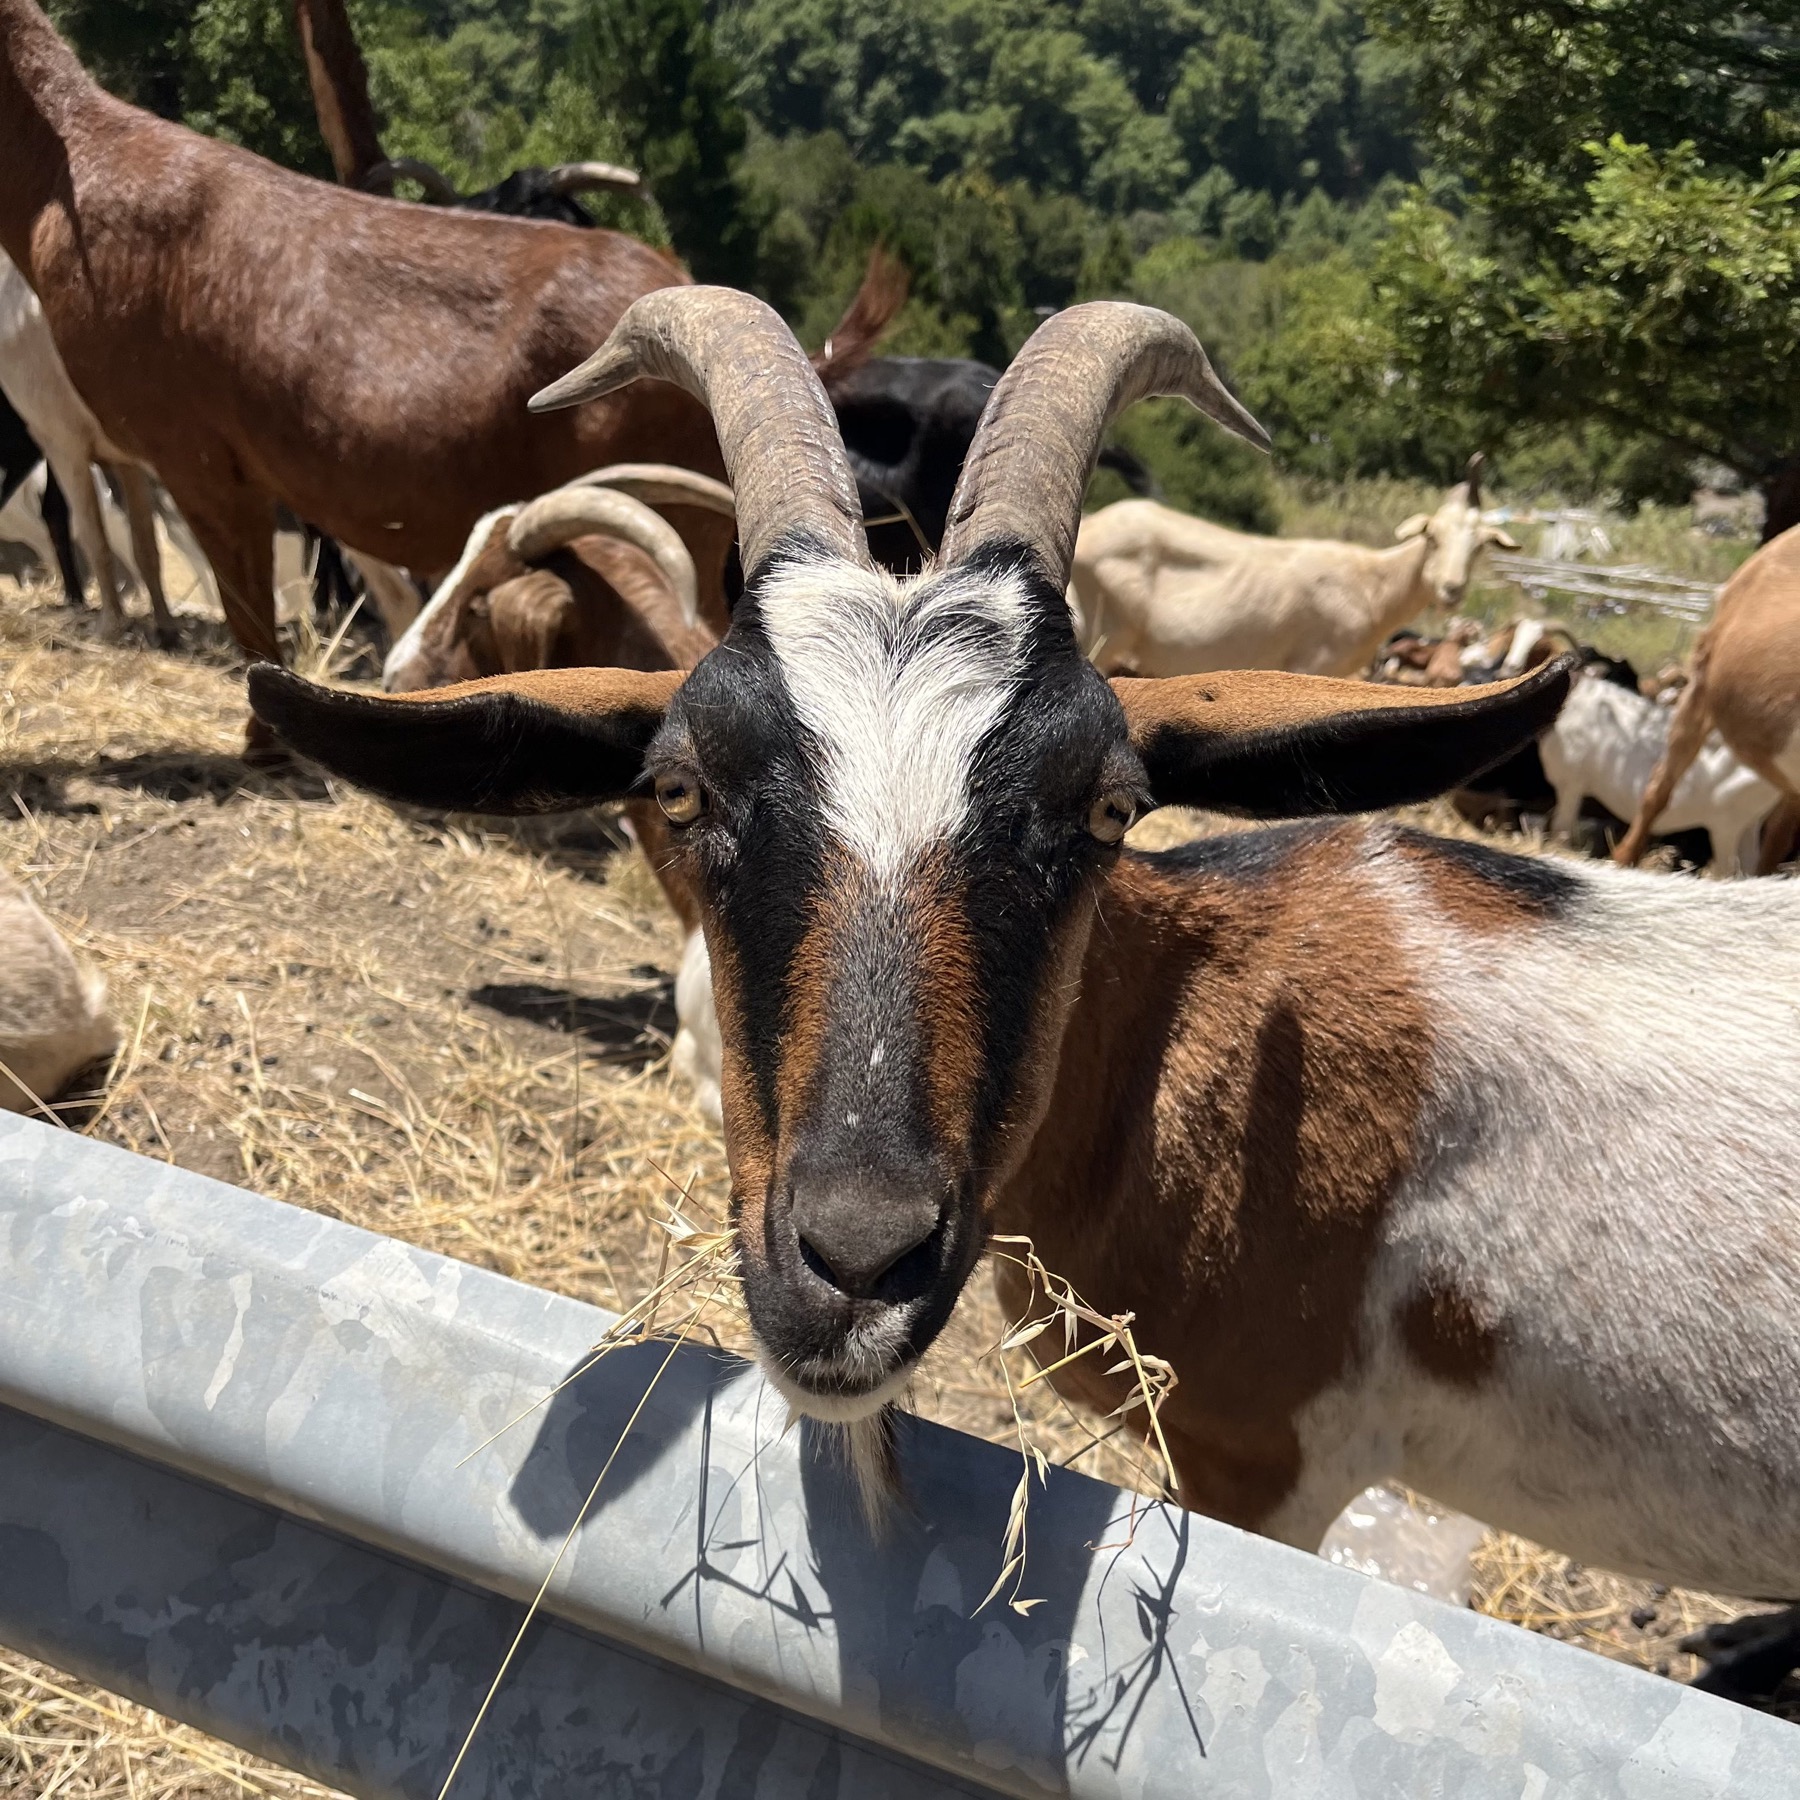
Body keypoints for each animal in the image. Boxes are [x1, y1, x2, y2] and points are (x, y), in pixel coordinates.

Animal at [1070, 455, 1519, 678]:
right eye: (1433, 537)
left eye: (1480, 545)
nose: (1451, 589)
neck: (1371, 585)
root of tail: (1089, 527)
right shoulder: (1313, 665)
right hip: (1101, 634)